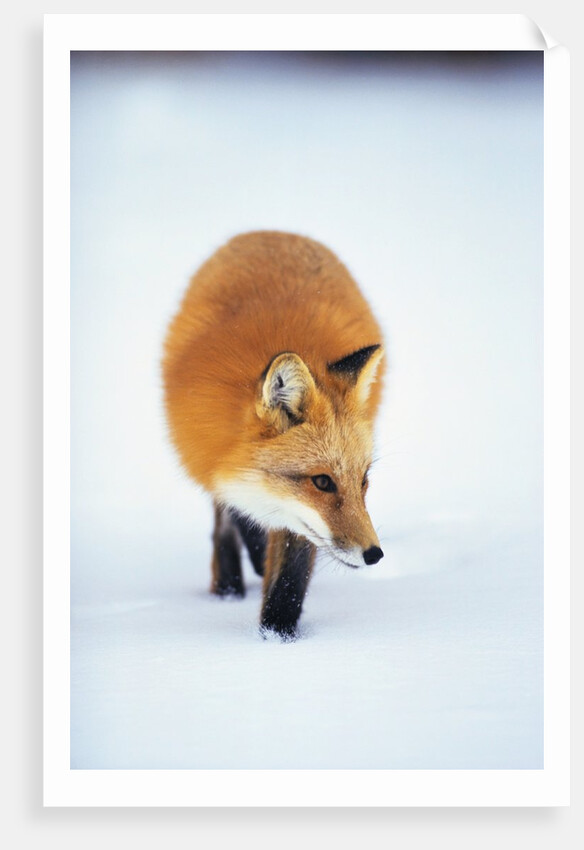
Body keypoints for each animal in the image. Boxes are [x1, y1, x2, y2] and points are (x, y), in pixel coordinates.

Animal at [162, 231, 385, 639]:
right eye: (322, 482)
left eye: (364, 481)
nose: (374, 554)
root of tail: (269, 232)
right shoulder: (214, 458)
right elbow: (236, 513)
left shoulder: (297, 519)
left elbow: (288, 581)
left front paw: (276, 639)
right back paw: (229, 587)